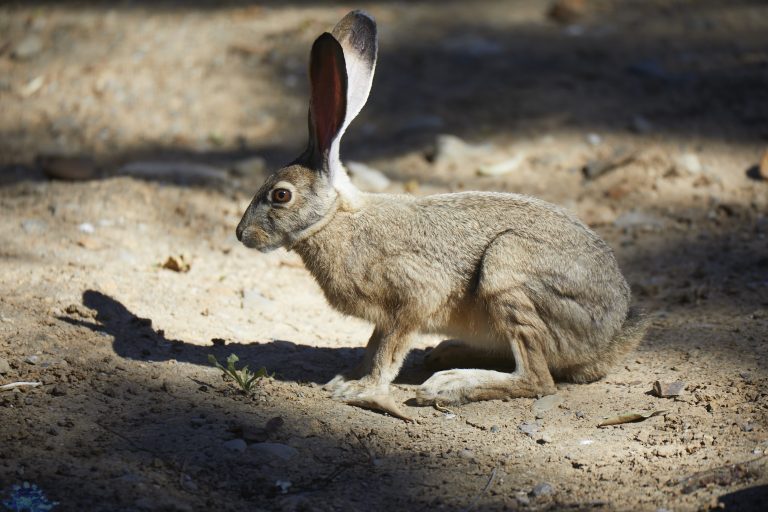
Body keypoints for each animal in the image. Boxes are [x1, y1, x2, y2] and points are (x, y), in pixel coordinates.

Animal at [236, 10, 647, 407]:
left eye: (281, 195)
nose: (242, 235)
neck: (337, 219)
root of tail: (611, 335)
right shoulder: (386, 317)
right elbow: (373, 345)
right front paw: (347, 378)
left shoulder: (414, 295)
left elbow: (388, 350)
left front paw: (360, 389)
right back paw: (447, 355)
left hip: (506, 270)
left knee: (538, 378)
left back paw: (450, 386)